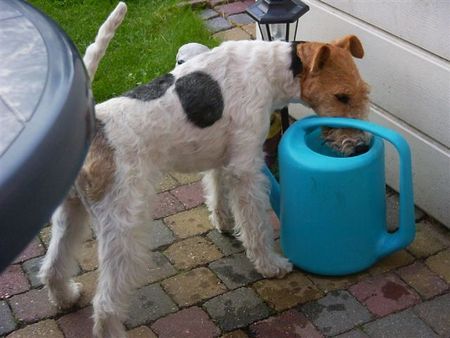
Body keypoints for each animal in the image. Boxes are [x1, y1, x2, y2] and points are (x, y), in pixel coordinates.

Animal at [38, 3, 370, 338]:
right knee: (105, 302)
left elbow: (217, 191)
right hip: (122, 222)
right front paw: (270, 265)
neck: (271, 69)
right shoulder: (246, 166)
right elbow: (256, 223)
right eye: (342, 96)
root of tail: (92, 124)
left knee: (53, 265)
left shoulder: (223, 157)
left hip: (72, 208)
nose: (359, 147)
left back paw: (65, 297)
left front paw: (223, 223)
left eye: (363, 92)